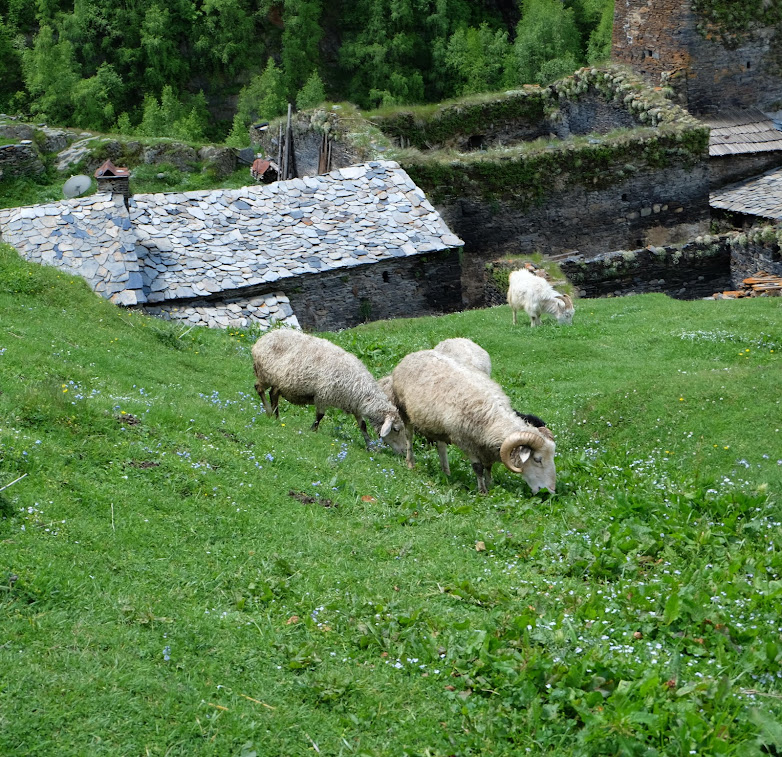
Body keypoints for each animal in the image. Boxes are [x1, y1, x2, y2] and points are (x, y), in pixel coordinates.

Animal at [253, 328, 404, 452]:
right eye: (395, 429)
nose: (403, 453)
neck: (360, 389)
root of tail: (262, 338)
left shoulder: (355, 405)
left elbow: (363, 426)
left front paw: (370, 446)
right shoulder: (322, 395)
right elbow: (319, 416)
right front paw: (313, 430)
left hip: (278, 382)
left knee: (273, 394)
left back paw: (276, 417)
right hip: (265, 374)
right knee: (259, 389)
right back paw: (269, 412)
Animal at [392, 350, 556, 494]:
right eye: (537, 459)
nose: (551, 491)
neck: (492, 418)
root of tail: (413, 354)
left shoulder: (485, 448)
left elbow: (488, 467)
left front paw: (491, 485)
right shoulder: (465, 441)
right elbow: (478, 467)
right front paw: (483, 491)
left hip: (437, 425)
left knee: (441, 446)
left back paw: (446, 472)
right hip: (404, 410)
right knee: (409, 436)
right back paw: (410, 462)